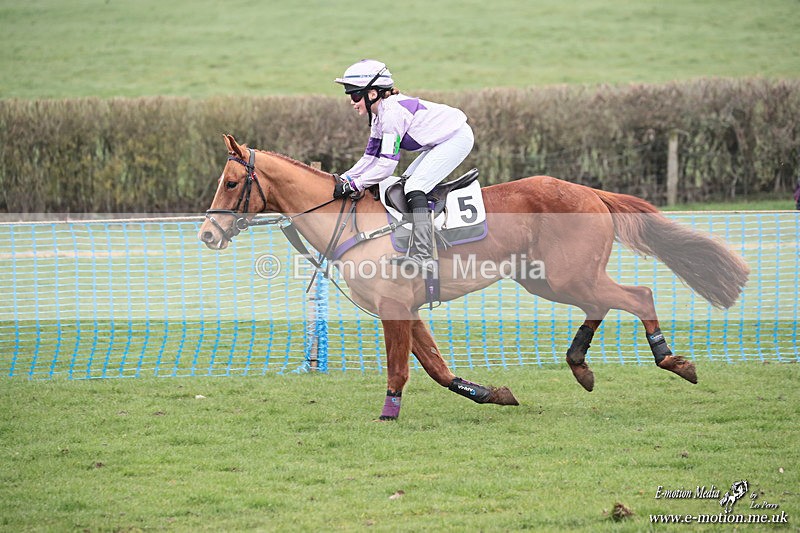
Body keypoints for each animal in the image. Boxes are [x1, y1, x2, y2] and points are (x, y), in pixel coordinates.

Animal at [199, 134, 749, 420]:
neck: (355, 223)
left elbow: (399, 369)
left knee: (638, 295)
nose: (206, 233)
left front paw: (387, 415)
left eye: (231, 182)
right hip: (548, 279)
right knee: (605, 303)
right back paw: (580, 365)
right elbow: (437, 369)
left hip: (567, 275)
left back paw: (672, 359)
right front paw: (492, 394)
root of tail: (590, 191)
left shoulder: (394, 308)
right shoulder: (407, 308)